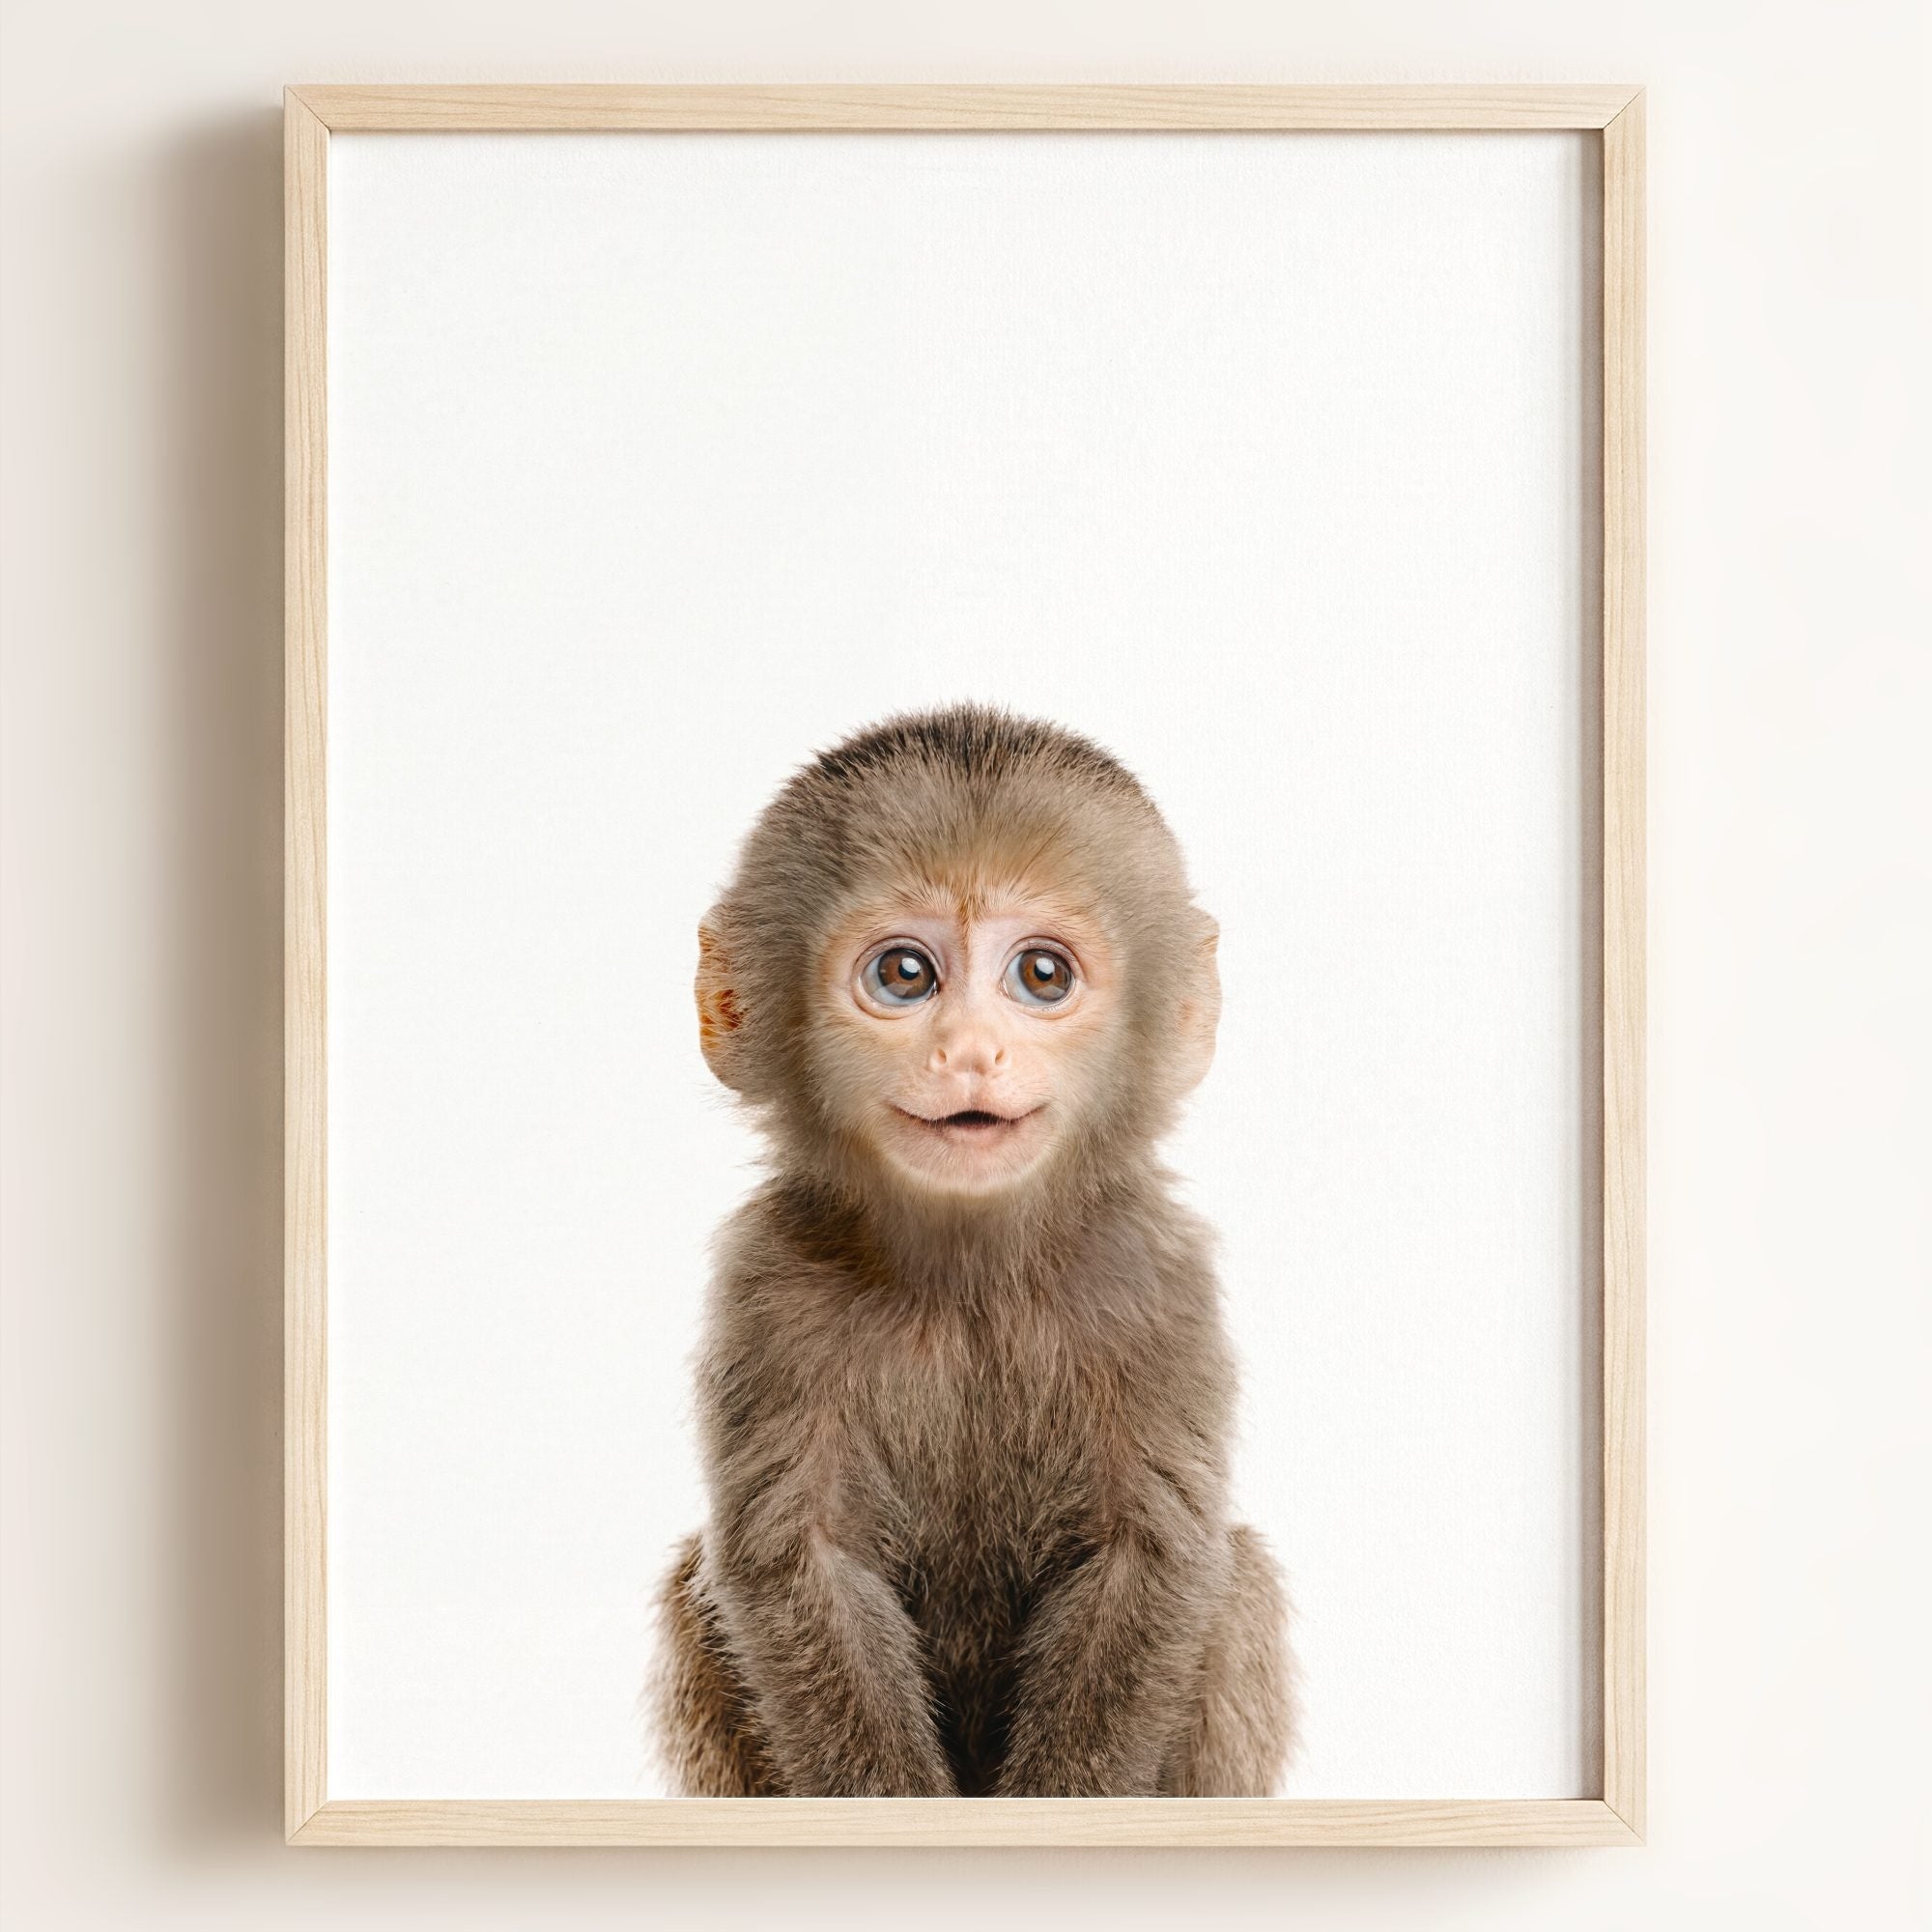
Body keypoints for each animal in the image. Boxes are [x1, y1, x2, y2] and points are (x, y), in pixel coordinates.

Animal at [651, 704, 1292, 1798]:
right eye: (904, 974)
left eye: (1041, 974)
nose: (969, 1053)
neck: (970, 1279)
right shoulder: (768, 1284)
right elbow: (798, 1562)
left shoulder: (1155, 1280)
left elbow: (1149, 1557)